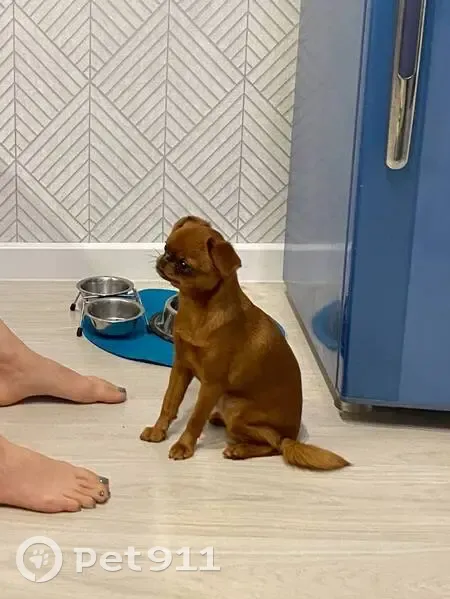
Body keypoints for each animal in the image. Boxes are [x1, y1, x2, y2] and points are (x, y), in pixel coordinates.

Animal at [140, 216, 350, 470]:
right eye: (166, 248)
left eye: (184, 265)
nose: (165, 259)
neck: (198, 309)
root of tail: (292, 436)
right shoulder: (181, 367)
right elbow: (169, 402)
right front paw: (158, 430)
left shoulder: (211, 384)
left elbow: (195, 418)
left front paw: (184, 446)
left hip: (235, 407)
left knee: (274, 445)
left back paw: (238, 449)